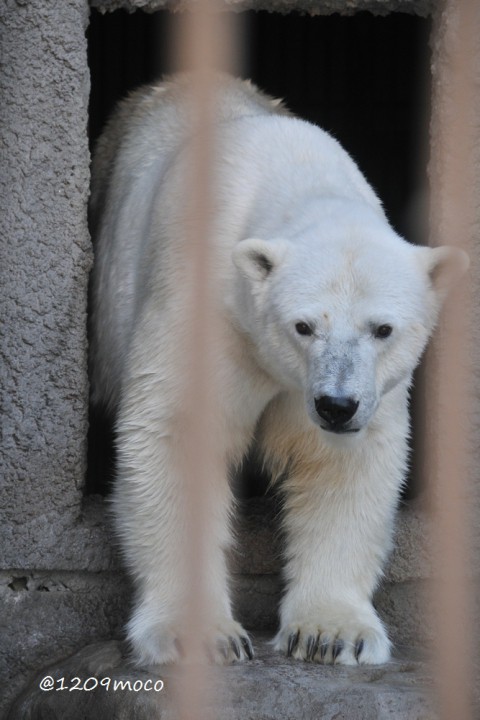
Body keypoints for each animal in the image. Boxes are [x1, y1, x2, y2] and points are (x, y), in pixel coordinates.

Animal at [88, 74, 466, 668]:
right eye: (303, 326)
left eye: (382, 329)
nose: (336, 406)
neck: (288, 171)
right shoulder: (205, 306)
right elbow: (179, 431)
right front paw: (197, 635)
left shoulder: (367, 391)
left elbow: (345, 464)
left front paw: (331, 634)